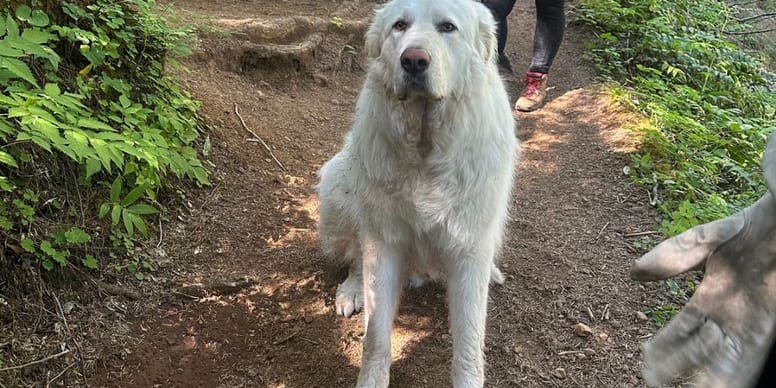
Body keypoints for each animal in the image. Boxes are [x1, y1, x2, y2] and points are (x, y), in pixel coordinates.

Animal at [318, 0, 520, 384]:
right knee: (355, 256)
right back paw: (352, 289)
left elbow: (469, 342)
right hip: (337, 185)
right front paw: (371, 380)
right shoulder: (383, 241)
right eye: (399, 26)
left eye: (448, 27)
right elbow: (376, 335)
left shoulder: (468, 247)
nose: (413, 60)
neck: (427, 148)